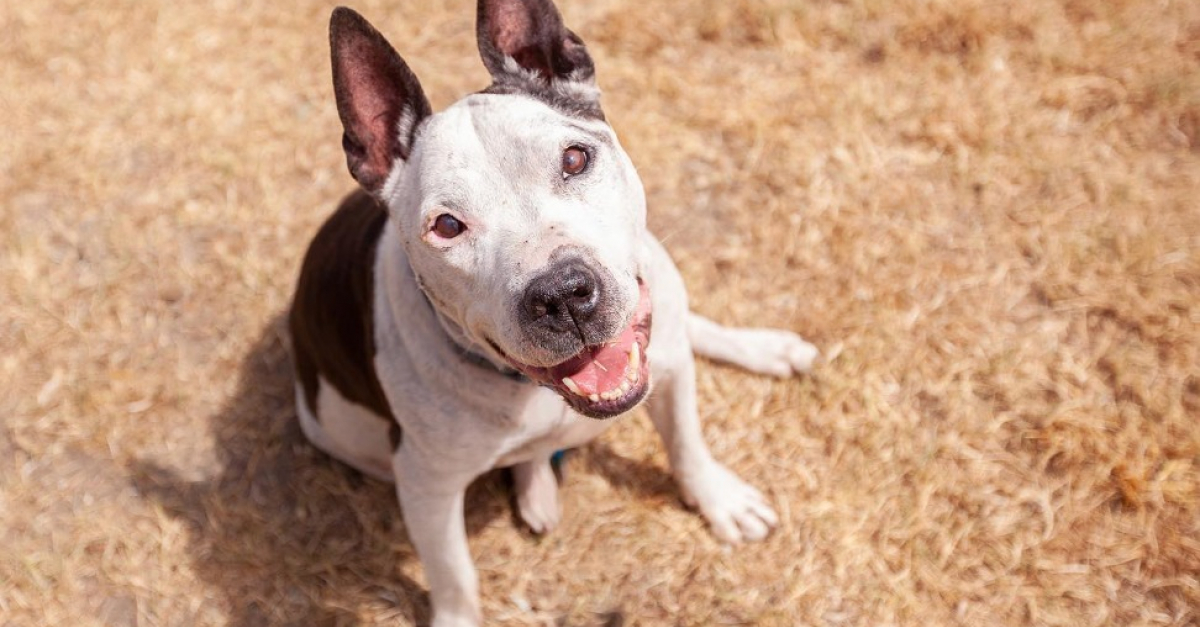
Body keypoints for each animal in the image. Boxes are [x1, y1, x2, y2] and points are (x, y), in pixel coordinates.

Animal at [285, 2, 820, 619]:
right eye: (447, 226)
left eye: (574, 158)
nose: (563, 294)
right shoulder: (425, 487)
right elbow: (454, 576)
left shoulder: (670, 371)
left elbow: (686, 443)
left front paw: (718, 498)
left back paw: (765, 348)